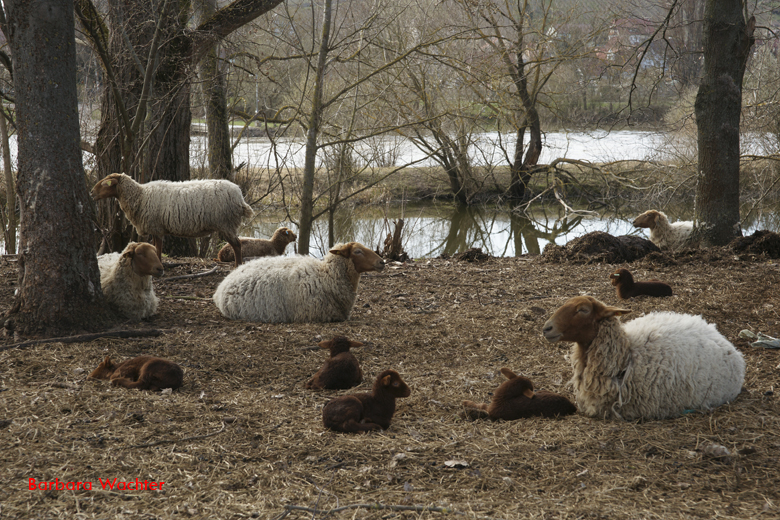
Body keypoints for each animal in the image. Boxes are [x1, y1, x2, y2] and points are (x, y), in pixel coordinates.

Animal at [92, 173, 253, 266]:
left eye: (105, 183)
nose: (92, 192)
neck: (140, 196)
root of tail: (239, 196)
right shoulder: (155, 228)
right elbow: (155, 247)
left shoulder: (156, 227)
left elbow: (158, 248)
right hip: (228, 224)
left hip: (226, 224)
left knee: (237, 245)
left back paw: (237, 266)